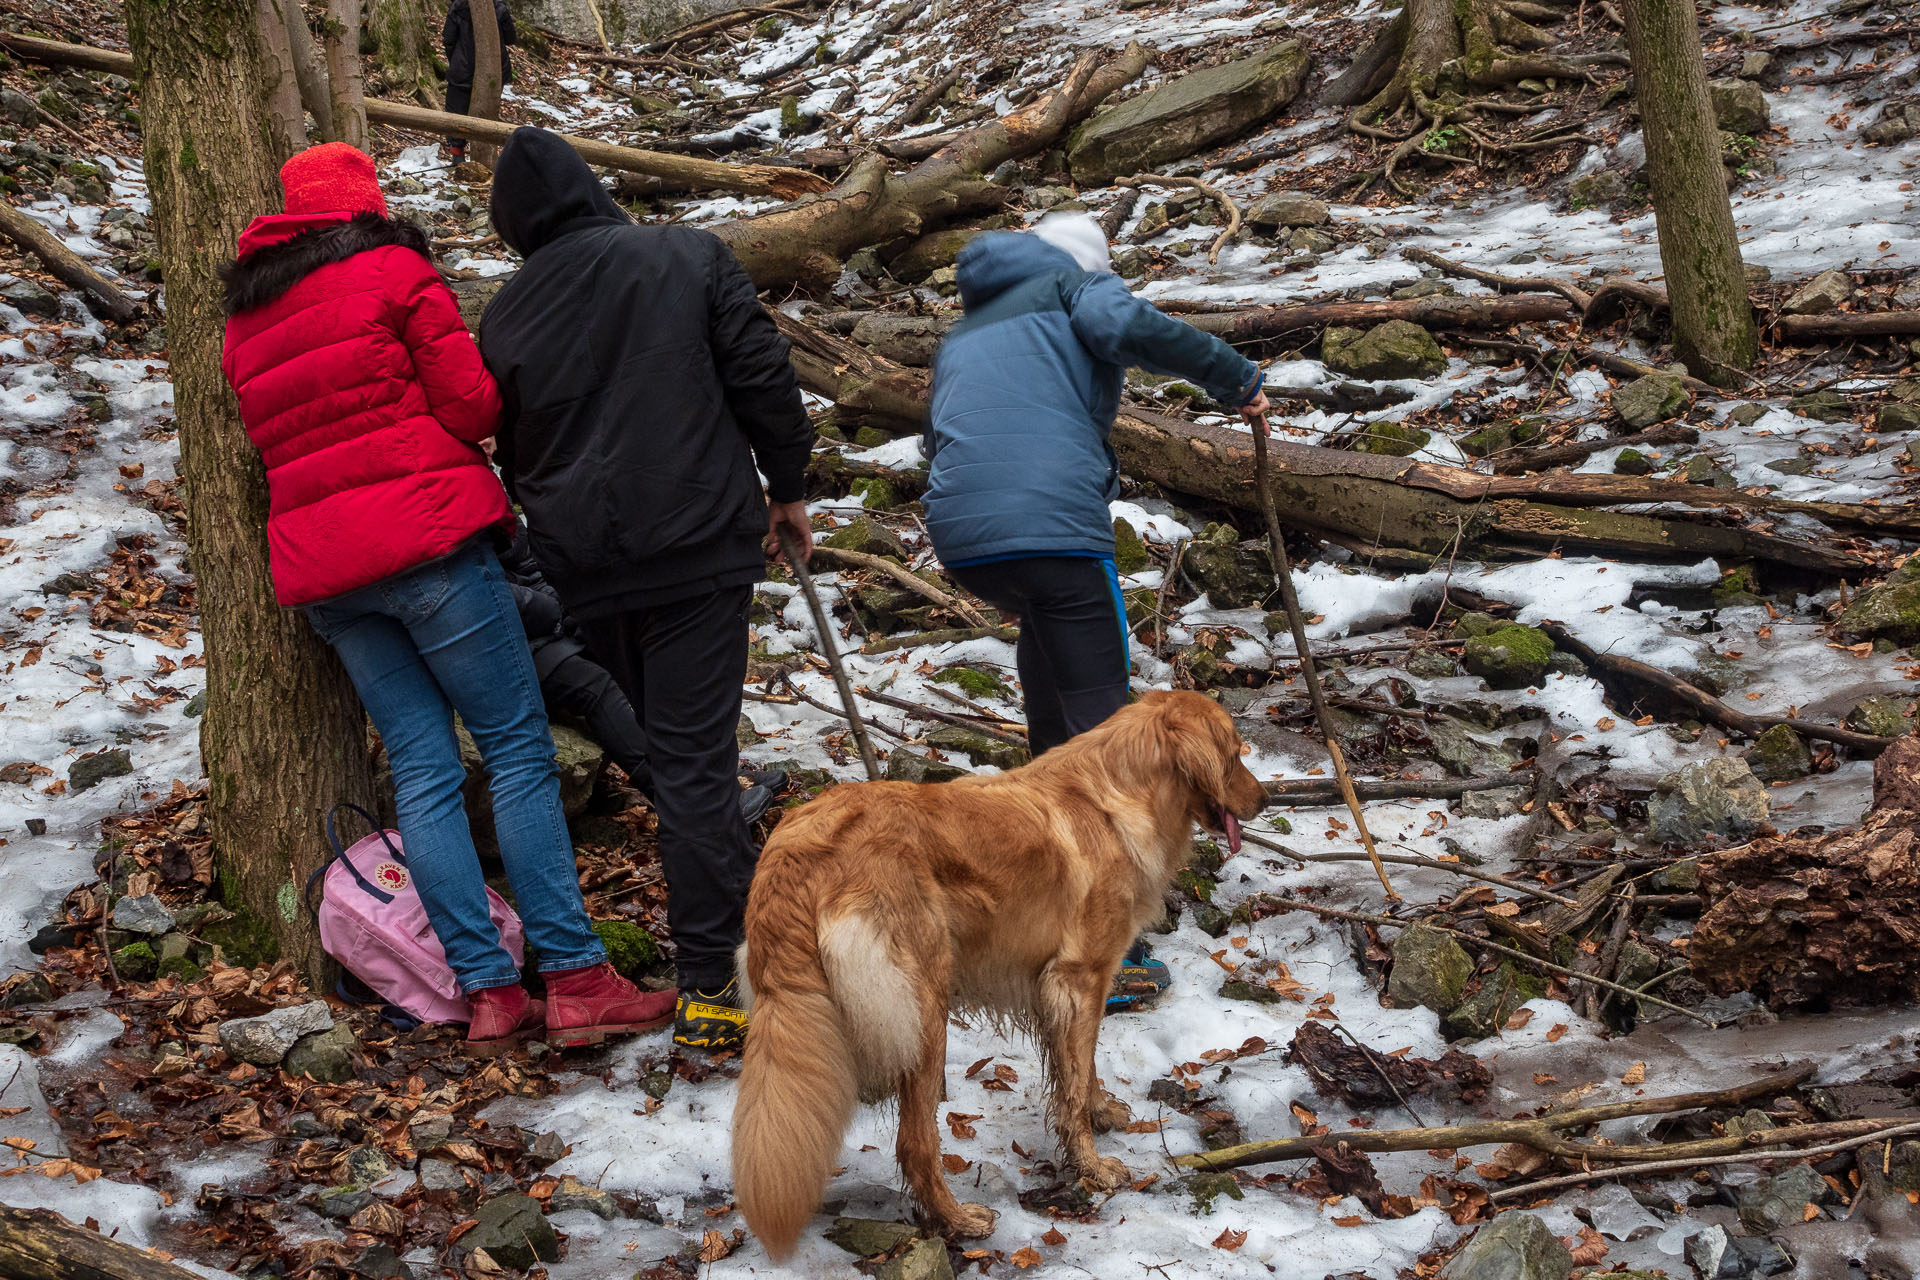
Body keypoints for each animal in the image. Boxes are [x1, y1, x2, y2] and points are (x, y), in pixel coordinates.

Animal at [725, 690, 1267, 1258]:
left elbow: (1082, 1069)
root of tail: (796, 852)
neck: (1118, 797)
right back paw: (958, 1220)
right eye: (1234, 755)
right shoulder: (1079, 979)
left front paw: (1102, 1112)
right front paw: (1093, 1167)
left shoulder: (1066, 988)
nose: (1267, 799)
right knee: (915, 1143)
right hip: (922, 1012)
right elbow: (1075, 1083)